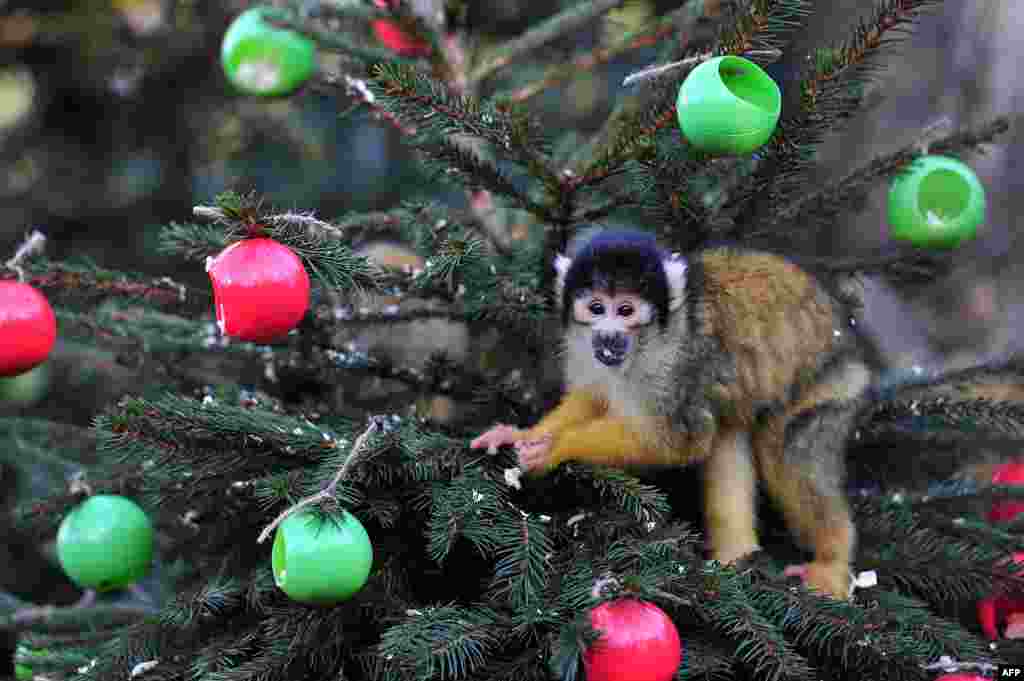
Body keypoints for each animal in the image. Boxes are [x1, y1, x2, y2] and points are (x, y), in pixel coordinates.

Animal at [471, 229, 872, 602]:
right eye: (597, 308)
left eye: (626, 311)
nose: (608, 336)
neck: (647, 343)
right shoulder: (586, 346)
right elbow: (594, 398)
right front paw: (522, 435)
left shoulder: (677, 363)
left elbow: (677, 440)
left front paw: (555, 446)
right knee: (726, 427)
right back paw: (735, 559)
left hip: (828, 388)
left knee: (787, 453)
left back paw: (833, 562)